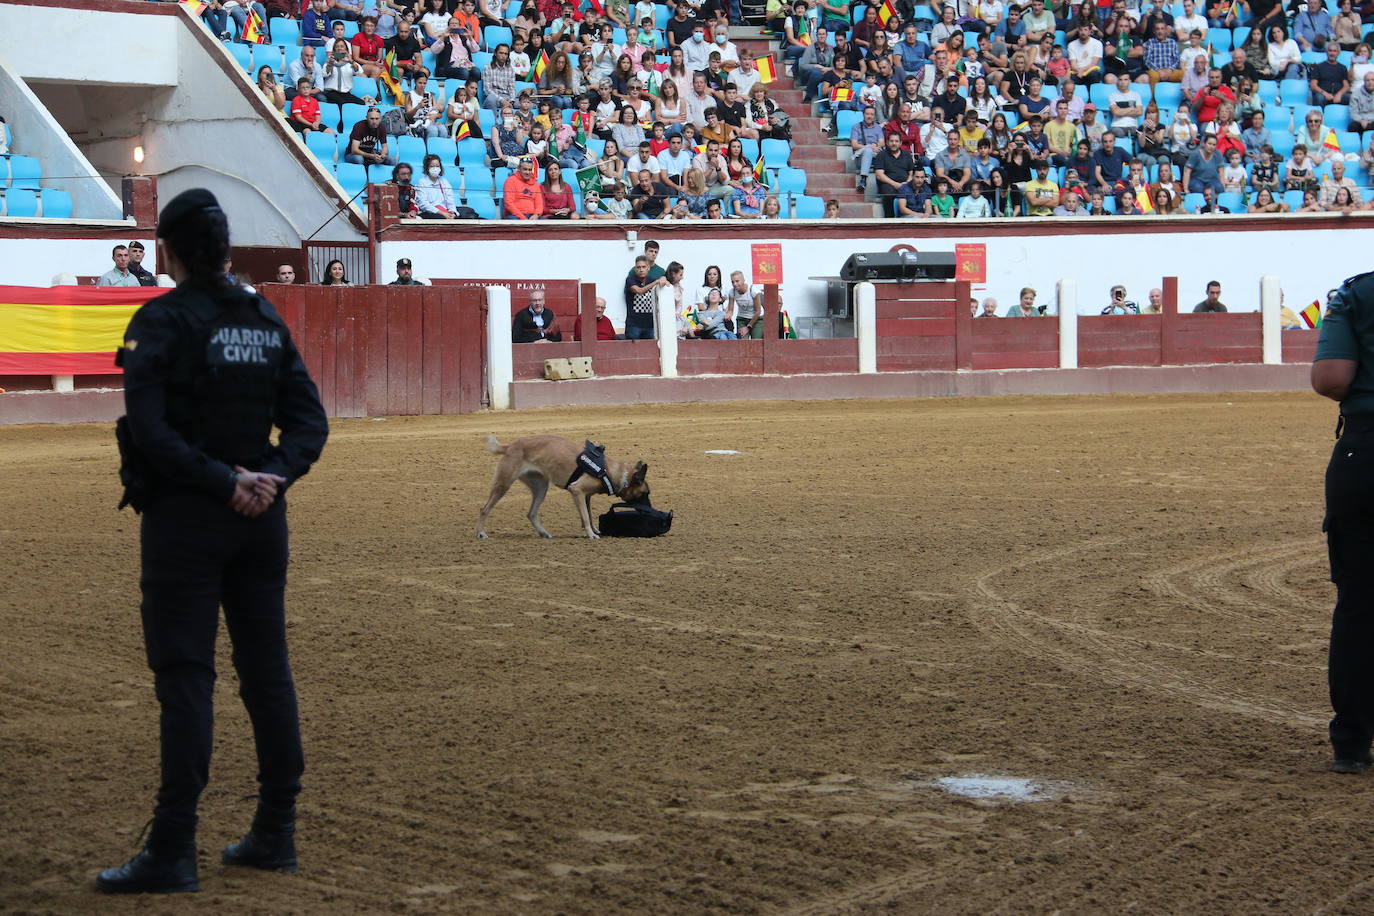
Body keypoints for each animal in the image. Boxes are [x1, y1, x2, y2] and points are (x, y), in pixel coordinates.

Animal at [480, 436, 651, 538]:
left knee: (531, 514)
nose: (650, 511)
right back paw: (481, 533)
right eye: (645, 494)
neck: (611, 471)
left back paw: (543, 533)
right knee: (484, 509)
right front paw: (591, 534)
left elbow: (588, 514)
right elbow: (586, 516)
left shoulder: (586, 495)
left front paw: (593, 530)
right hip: (503, 484)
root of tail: (510, 446)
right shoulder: (577, 490)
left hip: (540, 488)